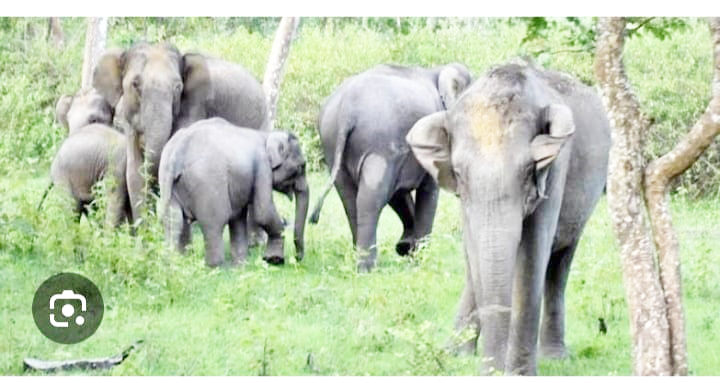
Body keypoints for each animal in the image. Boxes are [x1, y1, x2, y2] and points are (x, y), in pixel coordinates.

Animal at [158, 117, 310, 268]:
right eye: (302, 166)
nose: (297, 258)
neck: (267, 136)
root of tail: (178, 151)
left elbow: (238, 217)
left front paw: (241, 266)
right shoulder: (262, 167)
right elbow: (264, 212)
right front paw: (274, 260)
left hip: (167, 182)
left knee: (174, 220)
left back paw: (178, 263)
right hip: (208, 185)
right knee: (214, 224)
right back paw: (217, 268)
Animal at [310, 63, 472, 272]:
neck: (437, 71)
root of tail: (347, 109)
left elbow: (399, 195)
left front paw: (405, 248)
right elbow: (427, 192)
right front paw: (420, 260)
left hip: (332, 145)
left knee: (350, 199)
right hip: (380, 144)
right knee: (372, 197)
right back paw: (366, 268)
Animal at [408, 61, 612, 376]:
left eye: (529, 169)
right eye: (459, 173)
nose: (492, 370)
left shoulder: (556, 170)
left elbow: (532, 256)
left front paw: (518, 374)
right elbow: (475, 253)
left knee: (560, 263)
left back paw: (555, 357)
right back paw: (455, 352)